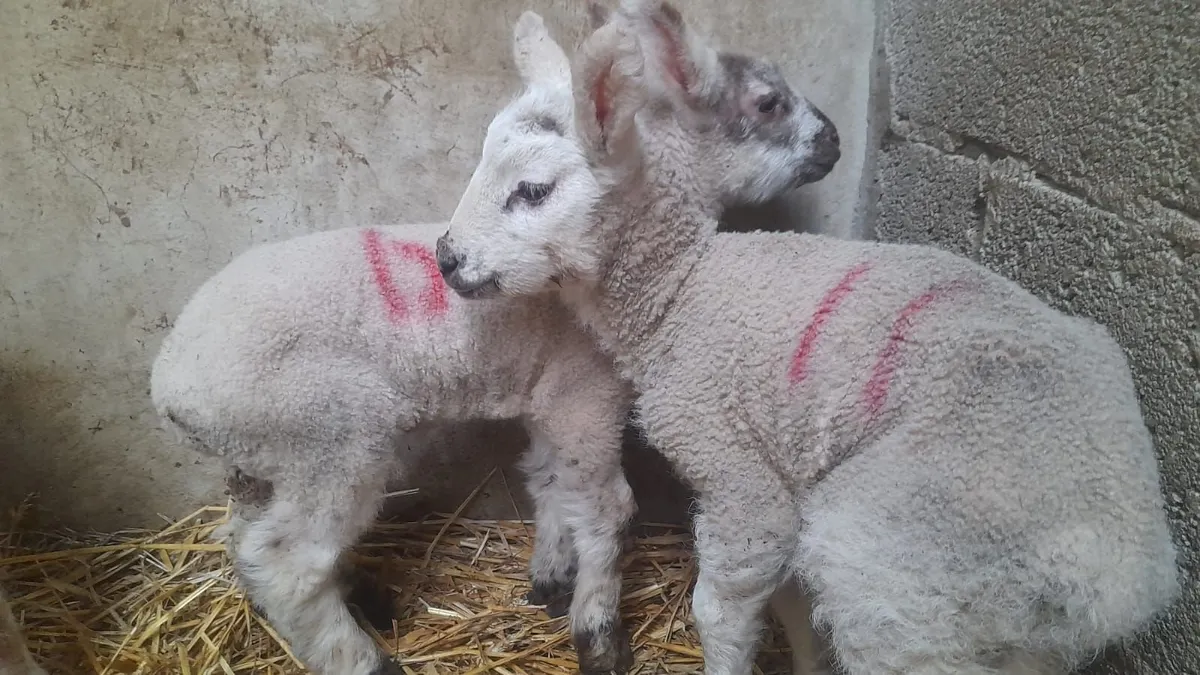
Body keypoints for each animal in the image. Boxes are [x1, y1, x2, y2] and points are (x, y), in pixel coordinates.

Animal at [149, 7, 833, 674]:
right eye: (768, 103)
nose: (833, 139)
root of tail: (171, 385)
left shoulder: (549, 395)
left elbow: (551, 483)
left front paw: (551, 580)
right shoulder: (584, 394)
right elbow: (604, 507)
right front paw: (599, 634)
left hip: (259, 456)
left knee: (245, 542)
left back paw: (358, 599)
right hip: (325, 435)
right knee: (289, 563)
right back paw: (363, 658)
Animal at [436, 2, 1182, 673]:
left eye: (533, 190)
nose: (446, 257)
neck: (682, 288)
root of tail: (1130, 580)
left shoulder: (734, 462)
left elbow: (723, 607)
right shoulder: (787, 469)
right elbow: (792, 605)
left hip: (904, 564)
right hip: (995, 620)